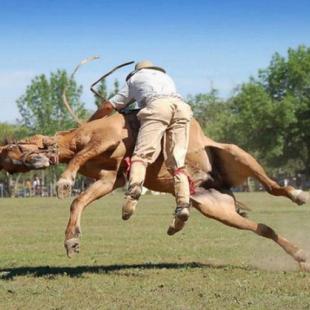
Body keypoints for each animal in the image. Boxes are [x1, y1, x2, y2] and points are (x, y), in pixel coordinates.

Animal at [0, 112, 308, 270]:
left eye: (13, 147)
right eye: (10, 169)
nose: (26, 165)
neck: (76, 138)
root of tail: (216, 183)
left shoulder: (108, 139)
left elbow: (79, 163)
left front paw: (64, 180)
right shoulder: (108, 179)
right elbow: (79, 201)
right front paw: (71, 241)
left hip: (238, 155)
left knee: (274, 188)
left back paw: (298, 195)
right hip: (217, 210)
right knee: (263, 228)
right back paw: (300, 256)